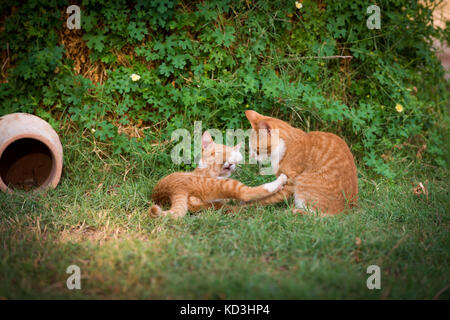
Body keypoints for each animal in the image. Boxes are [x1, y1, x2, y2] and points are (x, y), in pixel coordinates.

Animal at [149, 131, 286, 219]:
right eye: (217, 152)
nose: (230, 163)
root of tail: (173, 190)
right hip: (227, 185)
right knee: (246, 194)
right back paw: (281, 181)